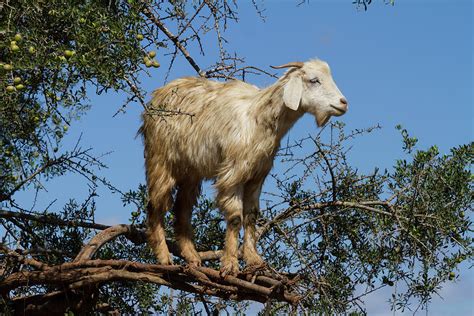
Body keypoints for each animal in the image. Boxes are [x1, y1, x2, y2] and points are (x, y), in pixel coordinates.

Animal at [141, 59, 348, 274]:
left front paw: (254, 260)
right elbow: (235, 217)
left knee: (182, 208)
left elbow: (251, 216)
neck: (259, 117)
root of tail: (157, 96)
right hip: (160, 160)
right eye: (314, 80)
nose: (343, 103)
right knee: (155, 205)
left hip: (191, 172)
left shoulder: (257, 175)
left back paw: (192, 256)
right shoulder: (233, 173)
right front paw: (230, 265)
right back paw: (164, 257)